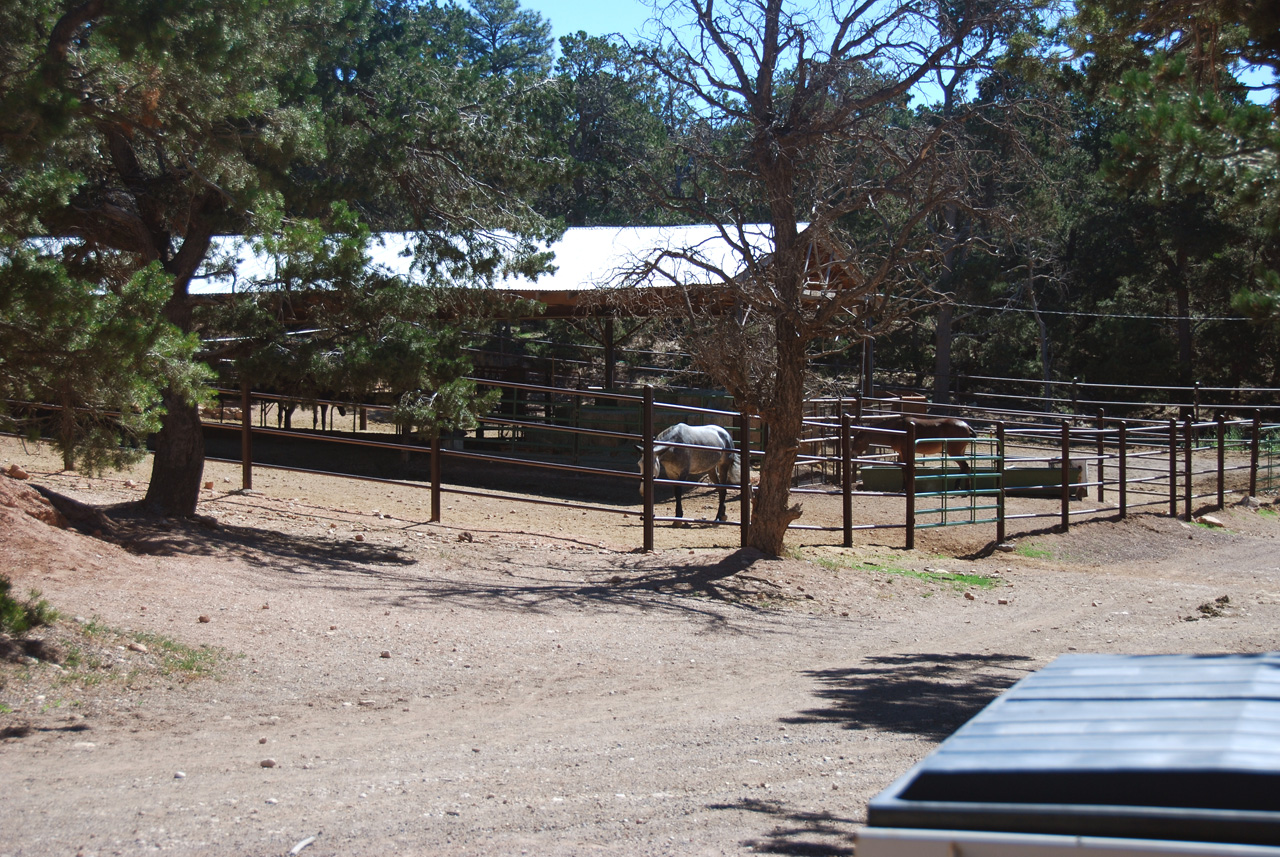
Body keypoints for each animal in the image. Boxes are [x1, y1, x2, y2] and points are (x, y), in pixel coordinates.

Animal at [849, 411, 977, 473]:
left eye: (860, 440)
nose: (853, 454)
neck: (897, 429)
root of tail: (966, 425)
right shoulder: (901, 453)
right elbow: (903, 469)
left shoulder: (906, 451)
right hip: (960, 452)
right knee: (964, 468)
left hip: (954, 452)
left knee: (965, 467)